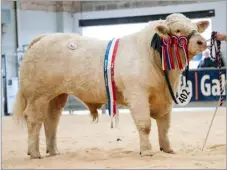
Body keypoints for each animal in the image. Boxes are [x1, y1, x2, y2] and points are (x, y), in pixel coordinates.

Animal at [12, 12, 209, 158]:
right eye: (178, 30)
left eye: (195, 28)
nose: (201, 41)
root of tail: (43, 37)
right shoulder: (137, 94)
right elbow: (145, 124)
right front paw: (146, 151)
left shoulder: (165, 98)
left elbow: (164, 126)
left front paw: (167, 149)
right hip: (38, 95)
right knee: (34, 120)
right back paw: (34, 153)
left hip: (57, 96)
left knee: (51, 120)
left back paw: (53, 151)